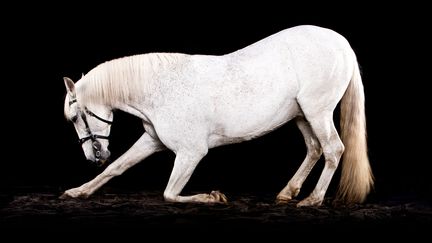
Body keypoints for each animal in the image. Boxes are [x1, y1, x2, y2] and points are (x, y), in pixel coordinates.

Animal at [61, 25, 374, 206]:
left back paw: (312, 200)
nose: (94, 156)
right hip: (302, 115)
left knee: (333, 149)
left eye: (75, 117)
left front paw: (212, 196)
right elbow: (117, 168)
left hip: (317, 111)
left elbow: (169, 193)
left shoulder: (191, 152)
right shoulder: (152, 140)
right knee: (314, 148)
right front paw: (78, 192)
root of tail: (341, 43)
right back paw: (288, 192)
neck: (160, 88)